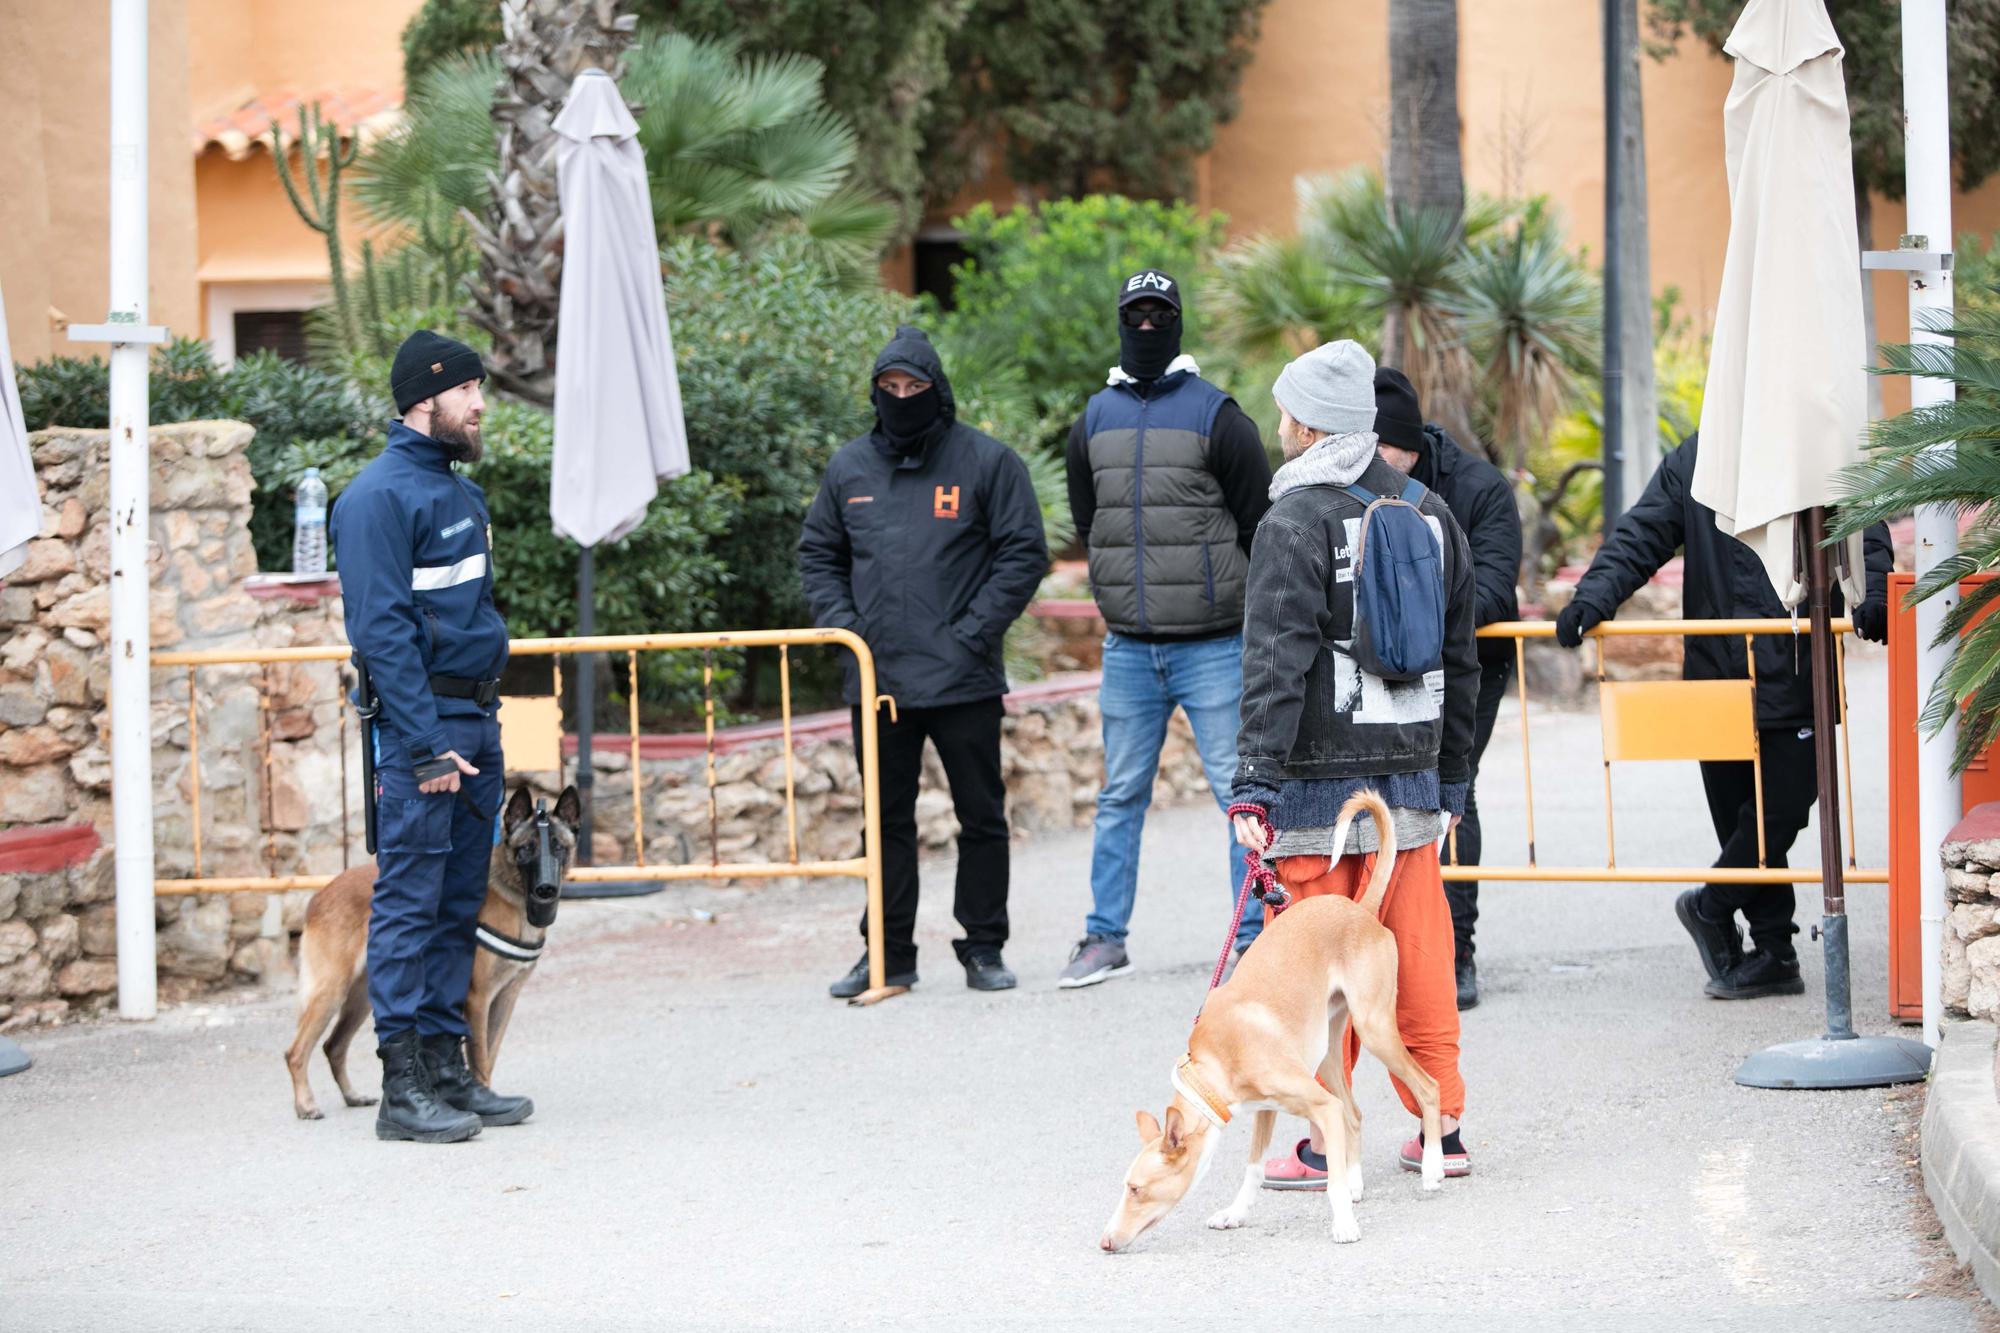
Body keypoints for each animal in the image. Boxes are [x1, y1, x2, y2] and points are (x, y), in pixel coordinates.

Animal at [286, 784, 580, 1112]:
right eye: (526, 848)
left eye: (558, 846)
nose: (546, 889)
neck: (512, 894)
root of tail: (320, 895)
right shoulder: (478, 999)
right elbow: (479, 1057)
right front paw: (483, 1097)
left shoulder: (506, 997)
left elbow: (490, 1054)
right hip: (332, 991)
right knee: (296, 1051)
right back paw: (305, 1104)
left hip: (361, 999)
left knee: (333, 1045)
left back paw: (352, 1096)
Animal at [1104, 788, 1448, 1248]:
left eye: (1136, 1189)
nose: (1105, 1241)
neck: (1217, 1061)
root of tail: (1360, 909)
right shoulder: (1266, 1108)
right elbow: (1253, 1169)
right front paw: (1235, 1214)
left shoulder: (1319, 1104)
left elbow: (1329, 1180)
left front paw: (1343, 1223)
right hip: (1327, 1053)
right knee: (1354, 1114)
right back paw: (1358, 1184)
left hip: (1374, 1029)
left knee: (1427, 1087)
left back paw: (1432, 1169)